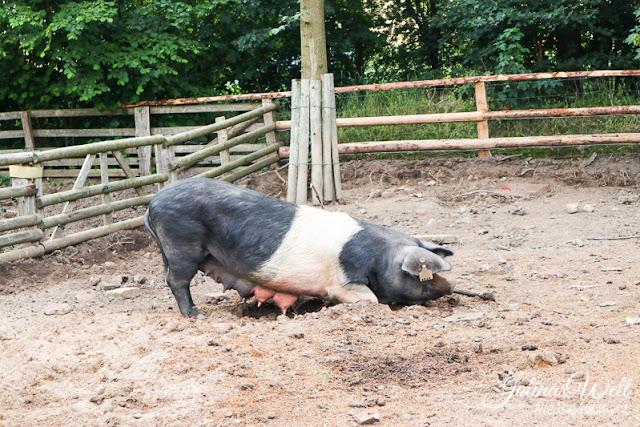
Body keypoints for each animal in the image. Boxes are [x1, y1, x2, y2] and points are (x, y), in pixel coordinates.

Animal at [145, 176, 456, 320]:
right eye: (417, 275)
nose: (450, 286)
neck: (378, 257)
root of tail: (153, 203)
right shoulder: (342, 281)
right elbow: (369, 300)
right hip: (181, 243)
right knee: (176, 280)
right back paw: (196, 315)